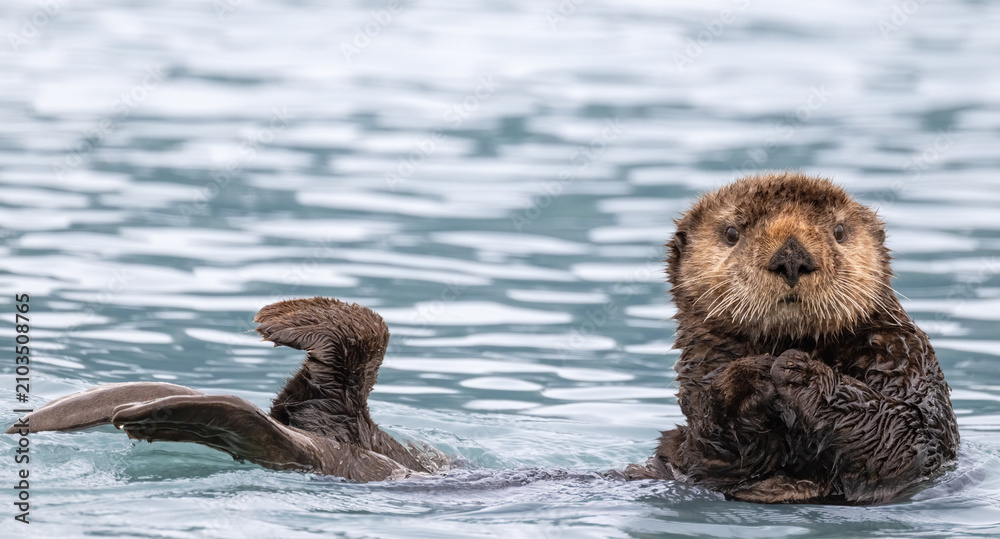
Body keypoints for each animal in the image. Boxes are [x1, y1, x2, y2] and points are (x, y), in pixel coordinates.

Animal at [6, 172, 958, 504]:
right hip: (351, 429)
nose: (793, 255)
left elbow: (895, 436)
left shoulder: (911, 379)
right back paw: (283, 320)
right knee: (335, 374)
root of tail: (333, 444)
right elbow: (716, 418)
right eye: (735, 232)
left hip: (342, 444)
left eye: (836, 230)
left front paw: (783, 368)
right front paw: (750, 377)